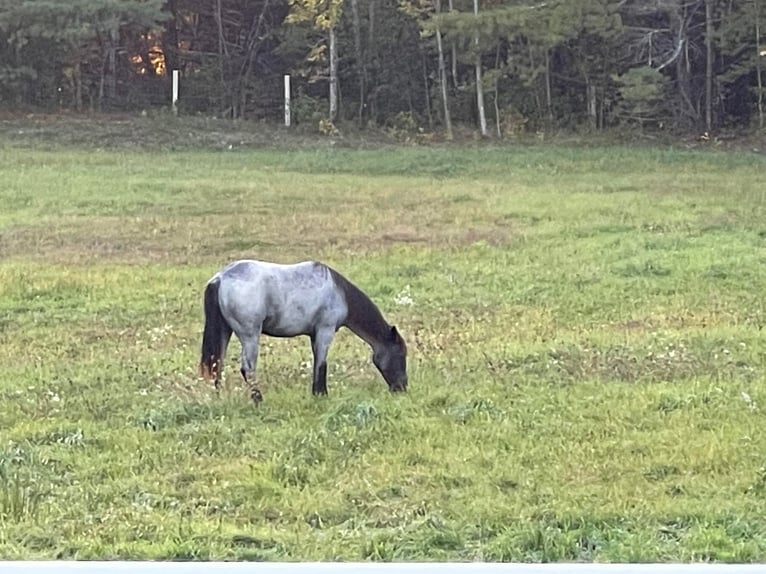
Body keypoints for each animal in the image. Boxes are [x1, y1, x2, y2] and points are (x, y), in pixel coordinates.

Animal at [201, 258, 412, 402]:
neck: (339, 292)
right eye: (401, 354)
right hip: (250, 335)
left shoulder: (314, 335)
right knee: (247, 368)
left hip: (225, 331)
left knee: (217, 366)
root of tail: (220, 278)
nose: (401, 388)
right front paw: (322, 394)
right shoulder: (325, 330)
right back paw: (258, 399)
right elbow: (322, 364)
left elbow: (317, 362)